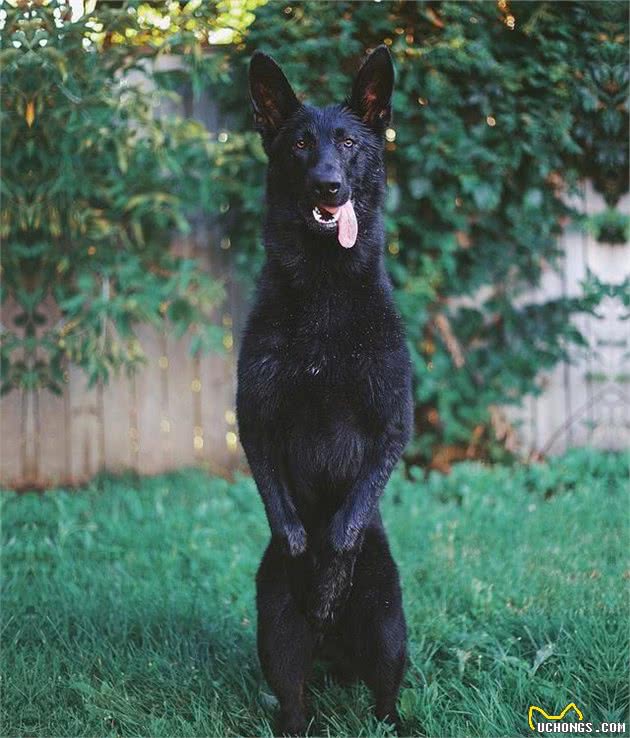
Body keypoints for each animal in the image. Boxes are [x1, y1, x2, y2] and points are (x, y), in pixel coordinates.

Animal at [237, 46, 414, 732]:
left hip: (388, 626)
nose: (328, 187)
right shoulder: (252, 417)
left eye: (348, 143)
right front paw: (305, 563)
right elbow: (289, 524)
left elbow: (341, 528)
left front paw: (330, 578)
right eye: (299, 145)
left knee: (386, 697)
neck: (324, 289)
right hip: (276, 635)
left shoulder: (393, 423)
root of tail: (334, 655)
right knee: (294, 700)